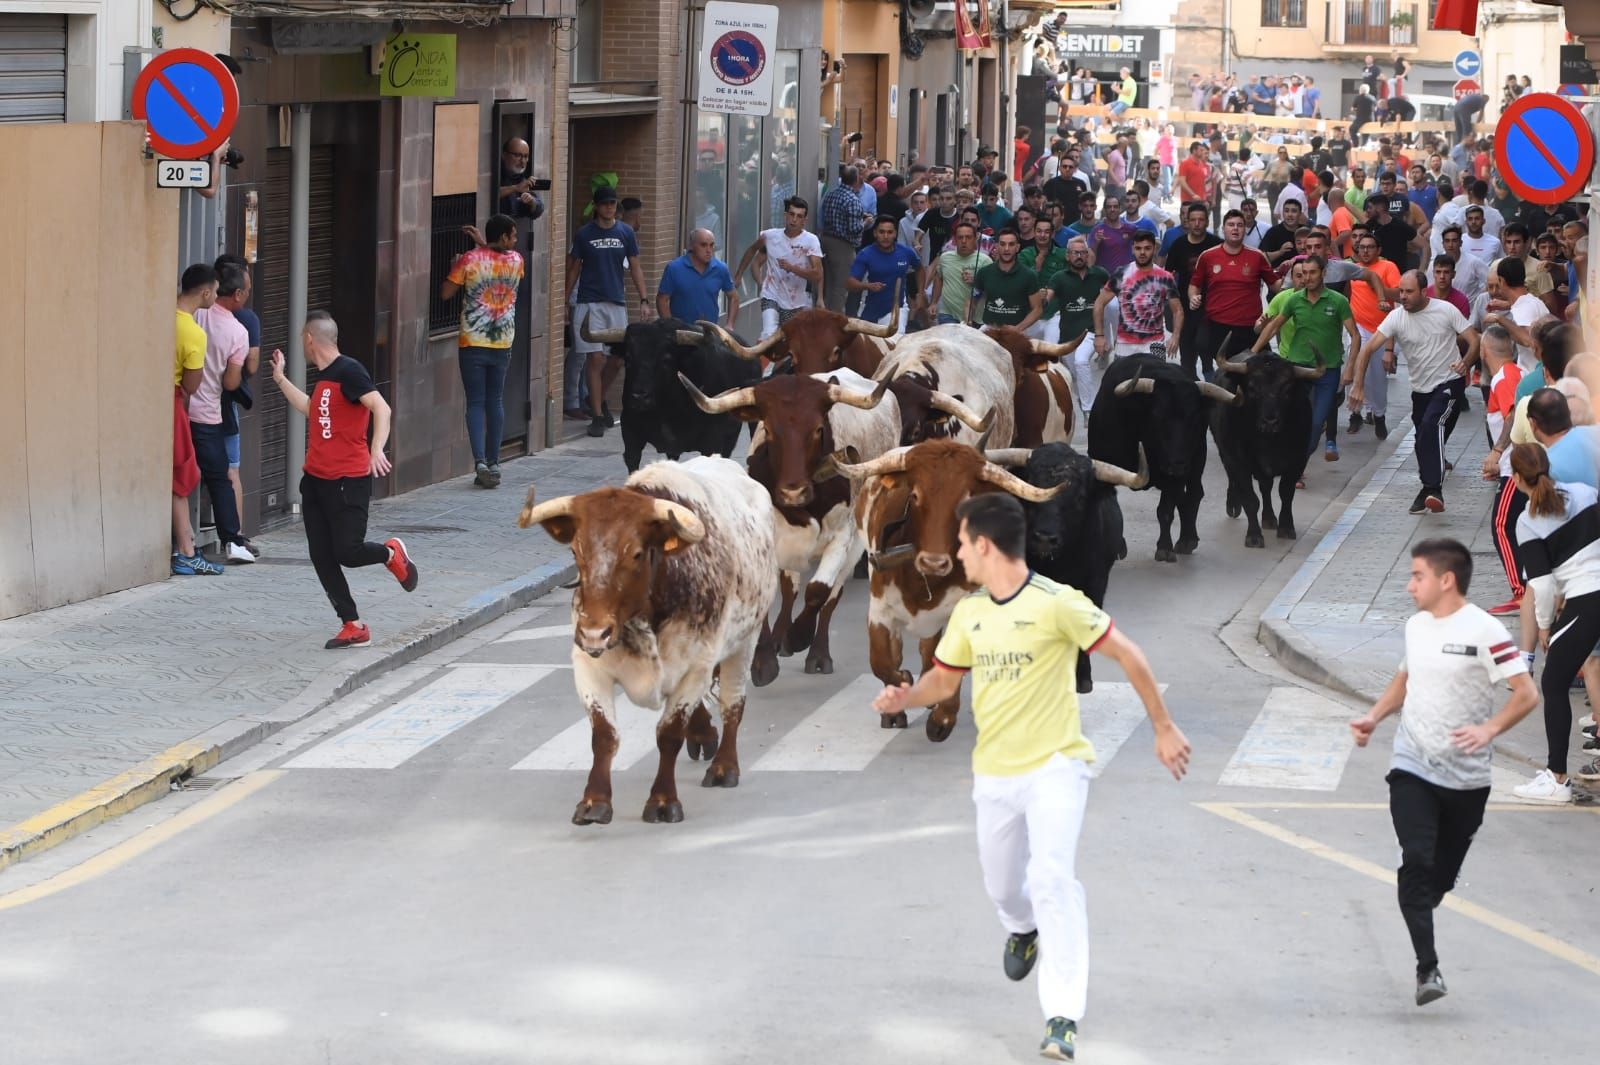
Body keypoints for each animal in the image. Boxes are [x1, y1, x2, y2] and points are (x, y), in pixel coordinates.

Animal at [515, 454, 771, 818]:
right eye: (575, 553)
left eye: (636, 553)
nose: (594, 633)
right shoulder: (589, 666)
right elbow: (604, 735)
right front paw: (594, 801)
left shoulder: (697, 668)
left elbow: (669, 734)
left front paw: (663, 801)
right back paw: (703, 735)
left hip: (745, 642)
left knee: (732, 703)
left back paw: (724, 767)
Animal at [675, 364, 902, 681]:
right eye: (769, 429)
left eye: (819, 429)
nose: (793, 491)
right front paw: (763, 659)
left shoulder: (843, 536)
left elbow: (818, 590)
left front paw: (798, 637)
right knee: (789, 588)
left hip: (857, 547)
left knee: (831, 595)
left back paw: (817, 653)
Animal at [1203, 350, 1318, 546]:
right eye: (1252, 388)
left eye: (1287, 388)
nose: (1270, 421)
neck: (1268, 441)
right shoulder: (1238, 462)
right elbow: (1250, 499)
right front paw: (1254, 536)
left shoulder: (1298, 461)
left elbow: (1285, 493)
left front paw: (1286, 528)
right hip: (1224, 453)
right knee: (1232, 478)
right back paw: (1233, 505)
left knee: (1266, 487)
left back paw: (1269, 518)